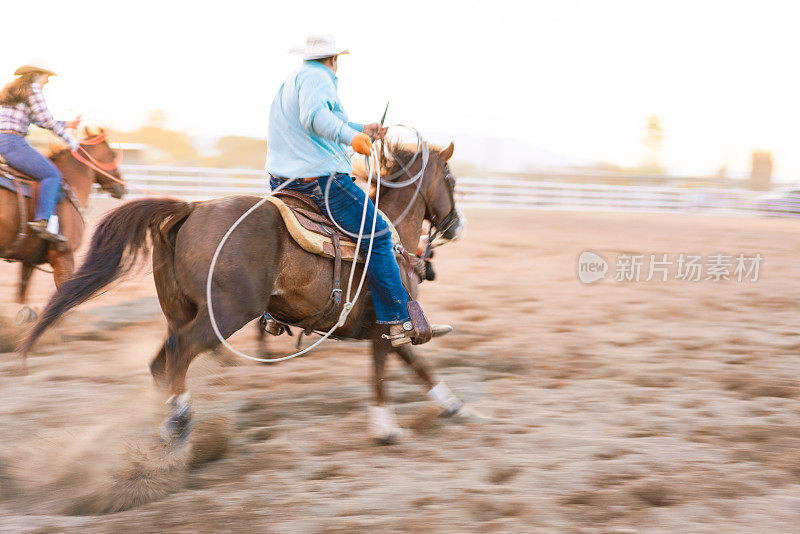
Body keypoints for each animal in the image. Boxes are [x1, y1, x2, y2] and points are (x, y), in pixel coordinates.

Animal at [21, 141, 466, 444]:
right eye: (451, 179)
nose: (456, 224)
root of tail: (192, 209)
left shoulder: (388, 331)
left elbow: (417, 366)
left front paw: (452, 403)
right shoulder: (389, 325)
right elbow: (385, 373)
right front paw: (386, 428)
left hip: (178, 311)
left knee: (161, 361)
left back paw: (168, 419)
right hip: (226, 313)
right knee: (181, 352)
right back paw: (179, 419)